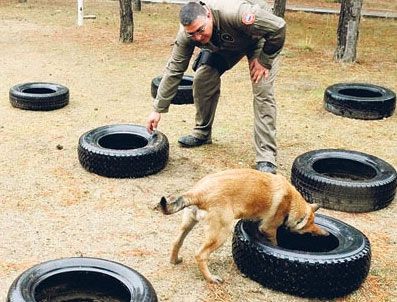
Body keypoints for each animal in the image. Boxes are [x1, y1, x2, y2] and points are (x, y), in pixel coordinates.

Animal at [155, 168, 328, 284]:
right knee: (200, 255)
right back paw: (211, 278)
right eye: (307, 231)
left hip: (188, 224)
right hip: (221, 234)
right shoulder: (269, 229)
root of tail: (198, 193)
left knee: (176, 242)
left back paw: (174, 260)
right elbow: (275, 242)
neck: (292, 201)